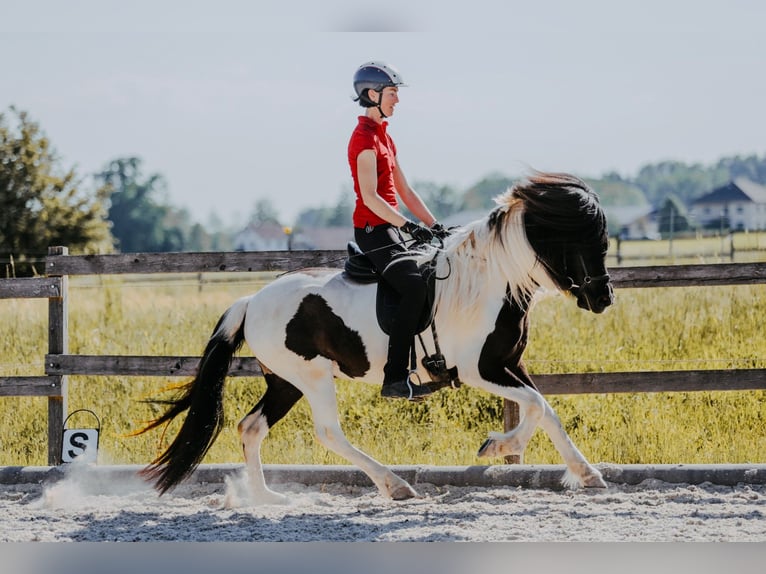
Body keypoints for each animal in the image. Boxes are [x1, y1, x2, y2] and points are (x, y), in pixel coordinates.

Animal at [138, 172, 614, 502]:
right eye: (585, 238)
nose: (603, 298)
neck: (488, 282)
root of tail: (252, 300)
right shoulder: (479, 370)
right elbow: (535, 405)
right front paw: (497, 446)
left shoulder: (510, 364)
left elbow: (546, 410)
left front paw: (587, 473)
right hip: (311, 378)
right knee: (328, 432)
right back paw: (395, 485)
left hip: (285, 381)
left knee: (251, 427)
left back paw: (268, 498)